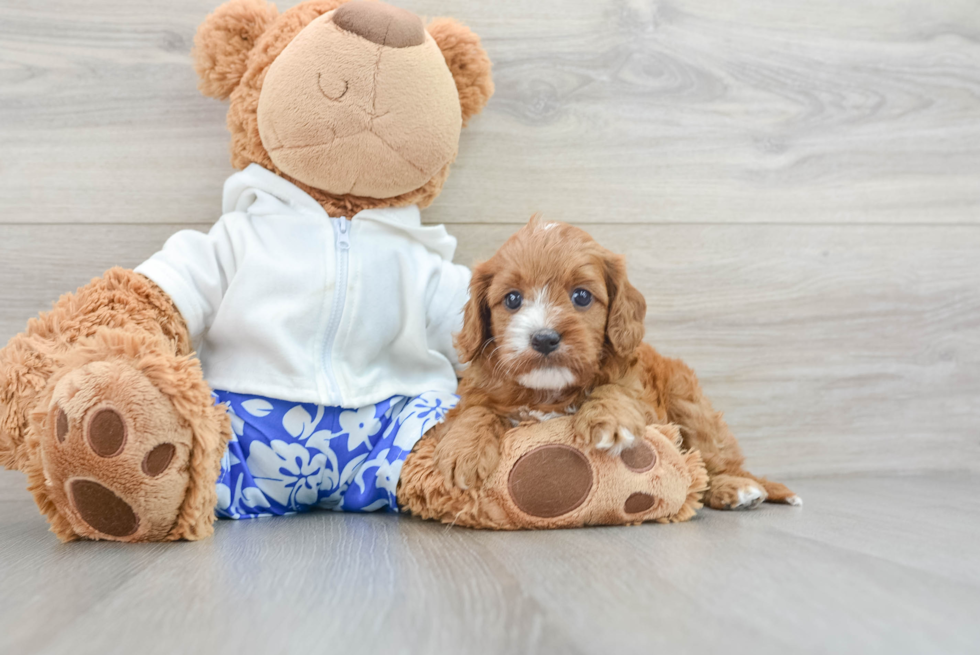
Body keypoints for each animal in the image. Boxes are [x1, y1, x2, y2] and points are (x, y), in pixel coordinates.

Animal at [432, 218, 800, 510]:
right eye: (512, 299)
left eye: (581, 296)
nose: (545, 338)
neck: (549, 391)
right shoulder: (475, 393)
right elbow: (474, 411)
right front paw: (462, 451)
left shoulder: (642, 393)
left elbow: (617, 389)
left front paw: (608, 419)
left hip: (690, 404)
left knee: (712, 460)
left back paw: (736, 488)